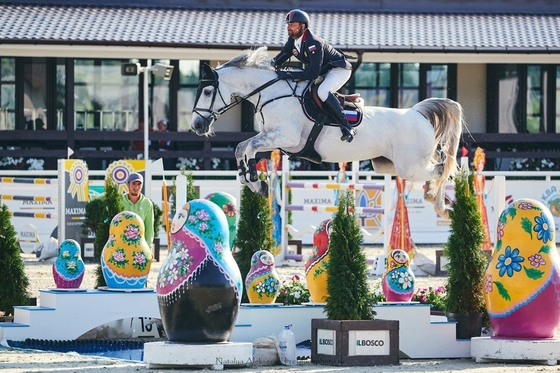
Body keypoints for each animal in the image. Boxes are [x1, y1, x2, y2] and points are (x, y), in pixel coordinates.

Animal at [191, 46, 464, 218]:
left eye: (207, 91)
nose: (196, 126)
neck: (270, 93)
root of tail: (417, 113)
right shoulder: (275, 139)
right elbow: (241, 148)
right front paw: (254, 182)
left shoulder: (286, 137)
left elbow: (249, 148)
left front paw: (256, 181)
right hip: (386, 164)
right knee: (438, 167)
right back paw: (439, 203)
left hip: (410, 166)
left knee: (441, 168)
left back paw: (440, 204)